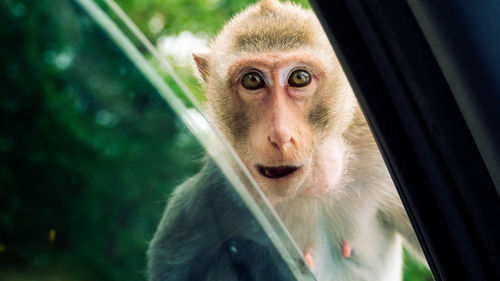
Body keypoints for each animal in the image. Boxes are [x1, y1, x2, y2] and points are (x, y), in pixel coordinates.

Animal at [146, 0, 428, 278]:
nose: (280, 136)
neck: (307, 191)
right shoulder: (219, 186)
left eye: (299, 77)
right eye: (252, 80)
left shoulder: (375, 163)